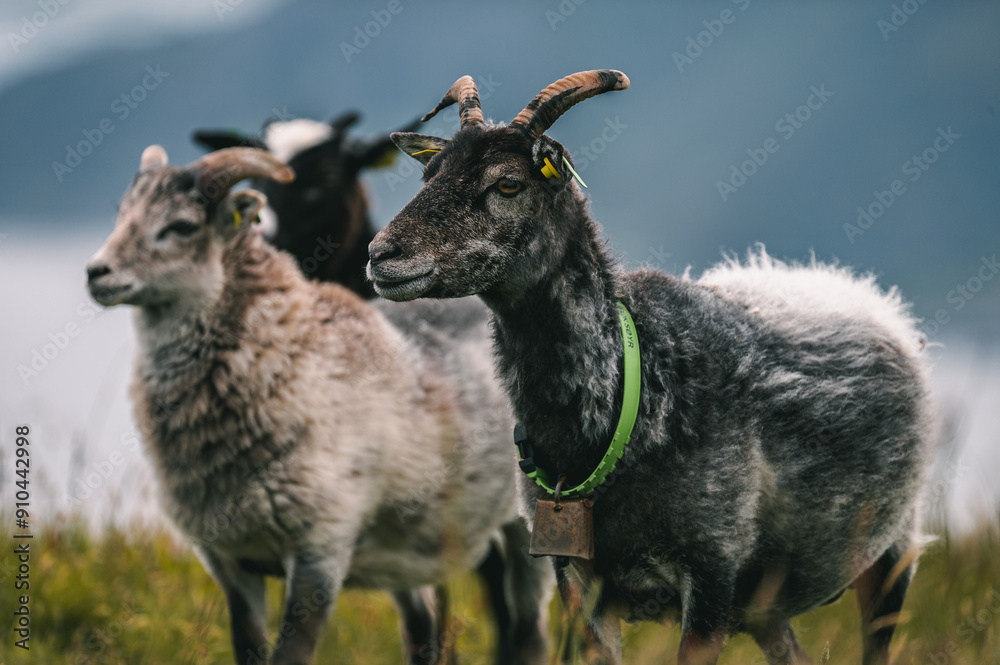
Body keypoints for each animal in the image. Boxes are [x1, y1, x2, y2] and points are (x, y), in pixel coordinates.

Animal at [85, 146, 550, 665]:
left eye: (183, 226)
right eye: (124, 214)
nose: (96, 273)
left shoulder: (319, 553)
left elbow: (290, 655)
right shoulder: (231, 562)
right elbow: (248, 649)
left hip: (525, 522)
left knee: (528, 633)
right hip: (406, 551)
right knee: (423, 629)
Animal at [367, 71, 938, 665]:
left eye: (507, 184)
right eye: (429, 174)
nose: (381, 255)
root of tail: (860, 290)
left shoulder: (711, 570)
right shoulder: (580, 582)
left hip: (893, 552)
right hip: (765, 604)